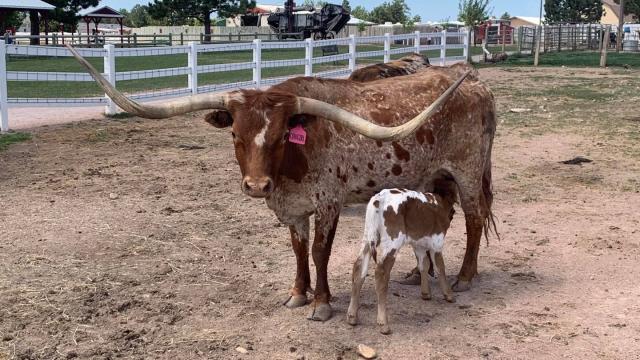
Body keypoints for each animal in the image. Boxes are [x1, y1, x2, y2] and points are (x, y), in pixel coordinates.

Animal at [67, 43, 496, 322]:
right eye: (235, 135)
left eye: (280, 136)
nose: (257, 186)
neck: (292, 163)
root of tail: (476, 85)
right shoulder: (292, 207)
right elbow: (298, 250)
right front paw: (298, 294)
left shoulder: (328, 202)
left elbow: (320, 252)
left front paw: (321, 303)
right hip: (434, 175)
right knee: (444, 216)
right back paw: (418, 274)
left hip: (468, 171)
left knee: (474, 219)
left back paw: (464, 277)